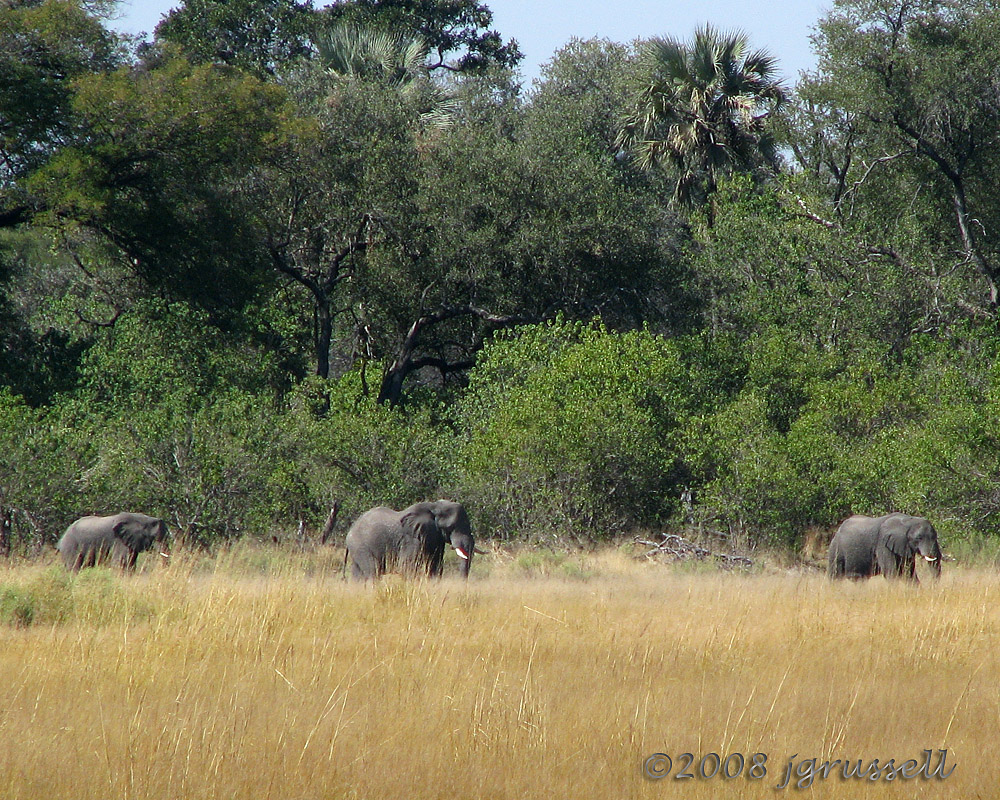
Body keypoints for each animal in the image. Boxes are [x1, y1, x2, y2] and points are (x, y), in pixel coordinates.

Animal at [344, 500, 476, 580]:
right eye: (451, 527)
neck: (434, 506)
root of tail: (351, 530)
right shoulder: (411, 539)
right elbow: (408, 565)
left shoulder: (436, 538)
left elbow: (436, 565)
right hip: (361, 546)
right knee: (373, 571)